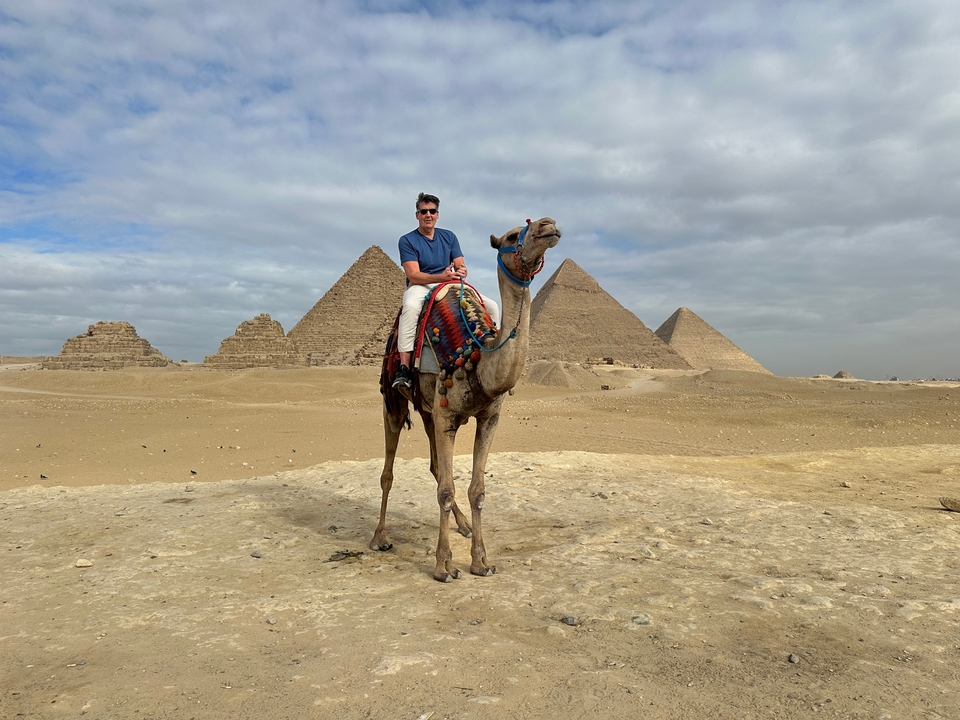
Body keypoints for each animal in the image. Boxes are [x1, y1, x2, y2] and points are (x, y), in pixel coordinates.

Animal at [371, 217, 561, 582]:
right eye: (513, 236)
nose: (550, 224)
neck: (477, 356)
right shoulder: (447, 418)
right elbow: (446, 490)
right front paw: (444, 566)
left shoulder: (488, 418)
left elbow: (477, 490)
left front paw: (481, 561)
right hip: (393, 399)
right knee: (388, 471)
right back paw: (379, 537)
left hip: (428, 411)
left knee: (434, 466)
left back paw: (462, 526)